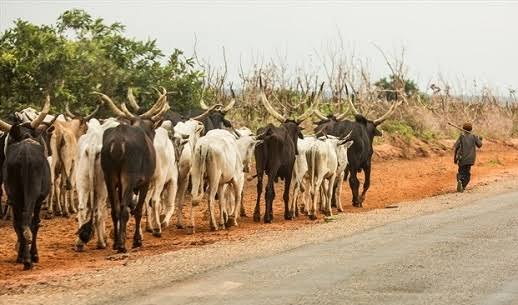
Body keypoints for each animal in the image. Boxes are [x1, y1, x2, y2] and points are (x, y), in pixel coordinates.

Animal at [0, 94, 53, 268]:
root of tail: (25, 153)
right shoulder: (39, 199)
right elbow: (35, 223)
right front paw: (33, 255)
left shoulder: (13, 199)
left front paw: (22, 254)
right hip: (31, 195)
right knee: (28, 221)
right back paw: (28, 259)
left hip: (15, 195)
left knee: (19, 222)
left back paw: (24, 256)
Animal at [75, 117, 120, 251]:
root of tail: (92, 147)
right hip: (102, 188)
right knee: (99, 212)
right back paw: (101, 243)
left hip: (83, 184)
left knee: (82, 209)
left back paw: (79, 243)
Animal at [95, 88, 171, 252]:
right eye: (153, 130)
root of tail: (117, 142)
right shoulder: (145, 182)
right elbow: (139, 209)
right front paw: (137, 240)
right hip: (128, 178)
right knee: (124, 209)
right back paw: (122, 245)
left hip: (109, 177)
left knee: (115, 210)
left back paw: (116, 242)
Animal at [253, 77, 324, 222]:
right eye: (297, 133)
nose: (296, 151)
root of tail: (268, 132)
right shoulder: (289, 171)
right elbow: (285, 193)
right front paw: (287, 214)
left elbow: (274, 193)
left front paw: (272, 213)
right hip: (274, 167)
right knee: (268, 189)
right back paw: (267, 218)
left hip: (259, 165)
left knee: (259, 187)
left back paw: (257, 215)